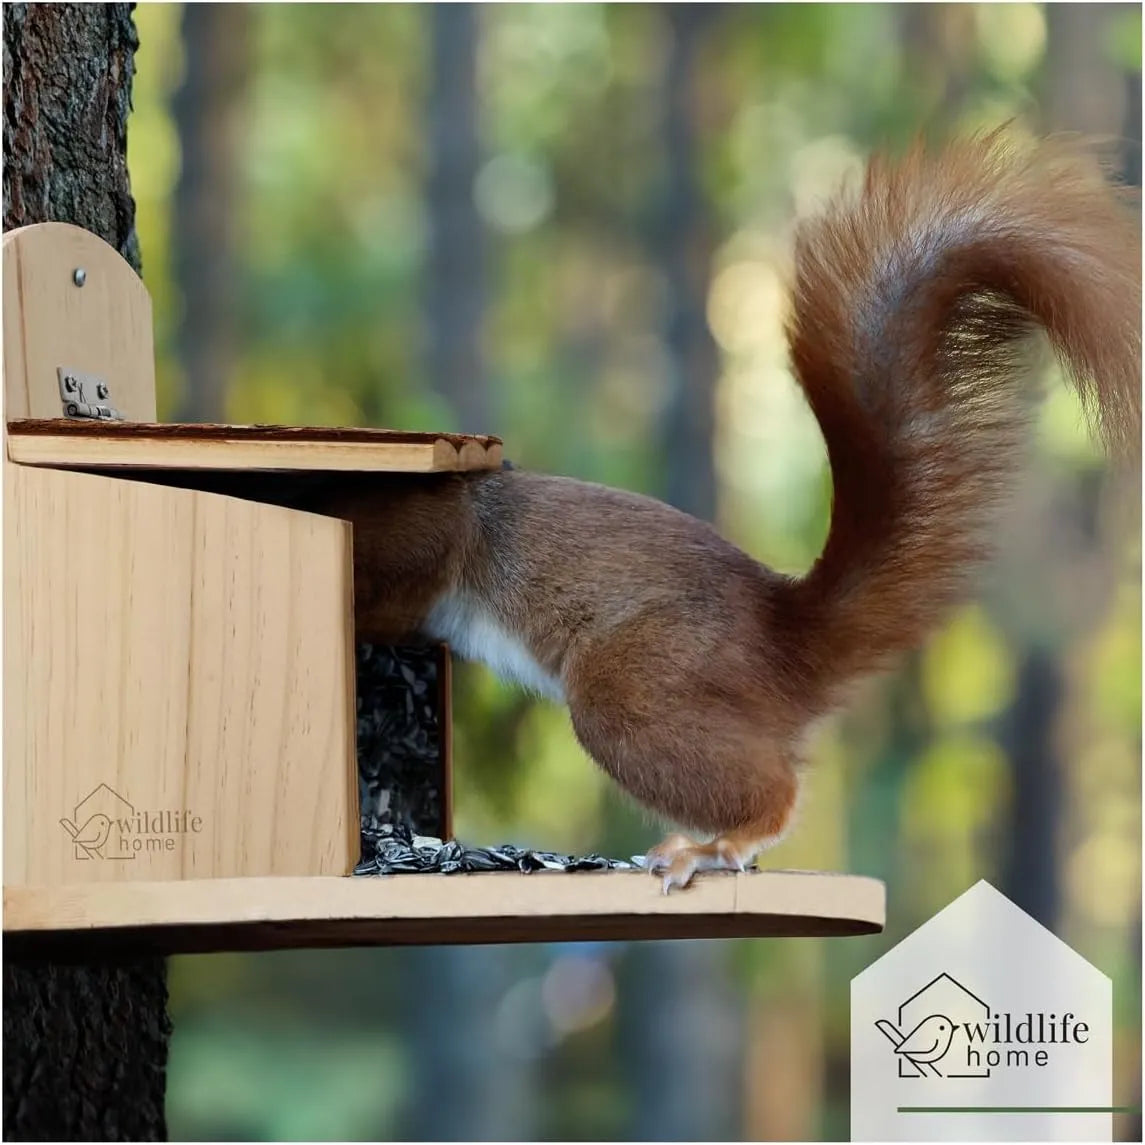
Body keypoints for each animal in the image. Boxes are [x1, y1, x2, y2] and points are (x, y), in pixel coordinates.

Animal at [309, 131, 1140, 883]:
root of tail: (783, 641)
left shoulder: (422, 535)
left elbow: (394, 585)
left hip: (636, 689)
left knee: (771, 789)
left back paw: (713, 846)